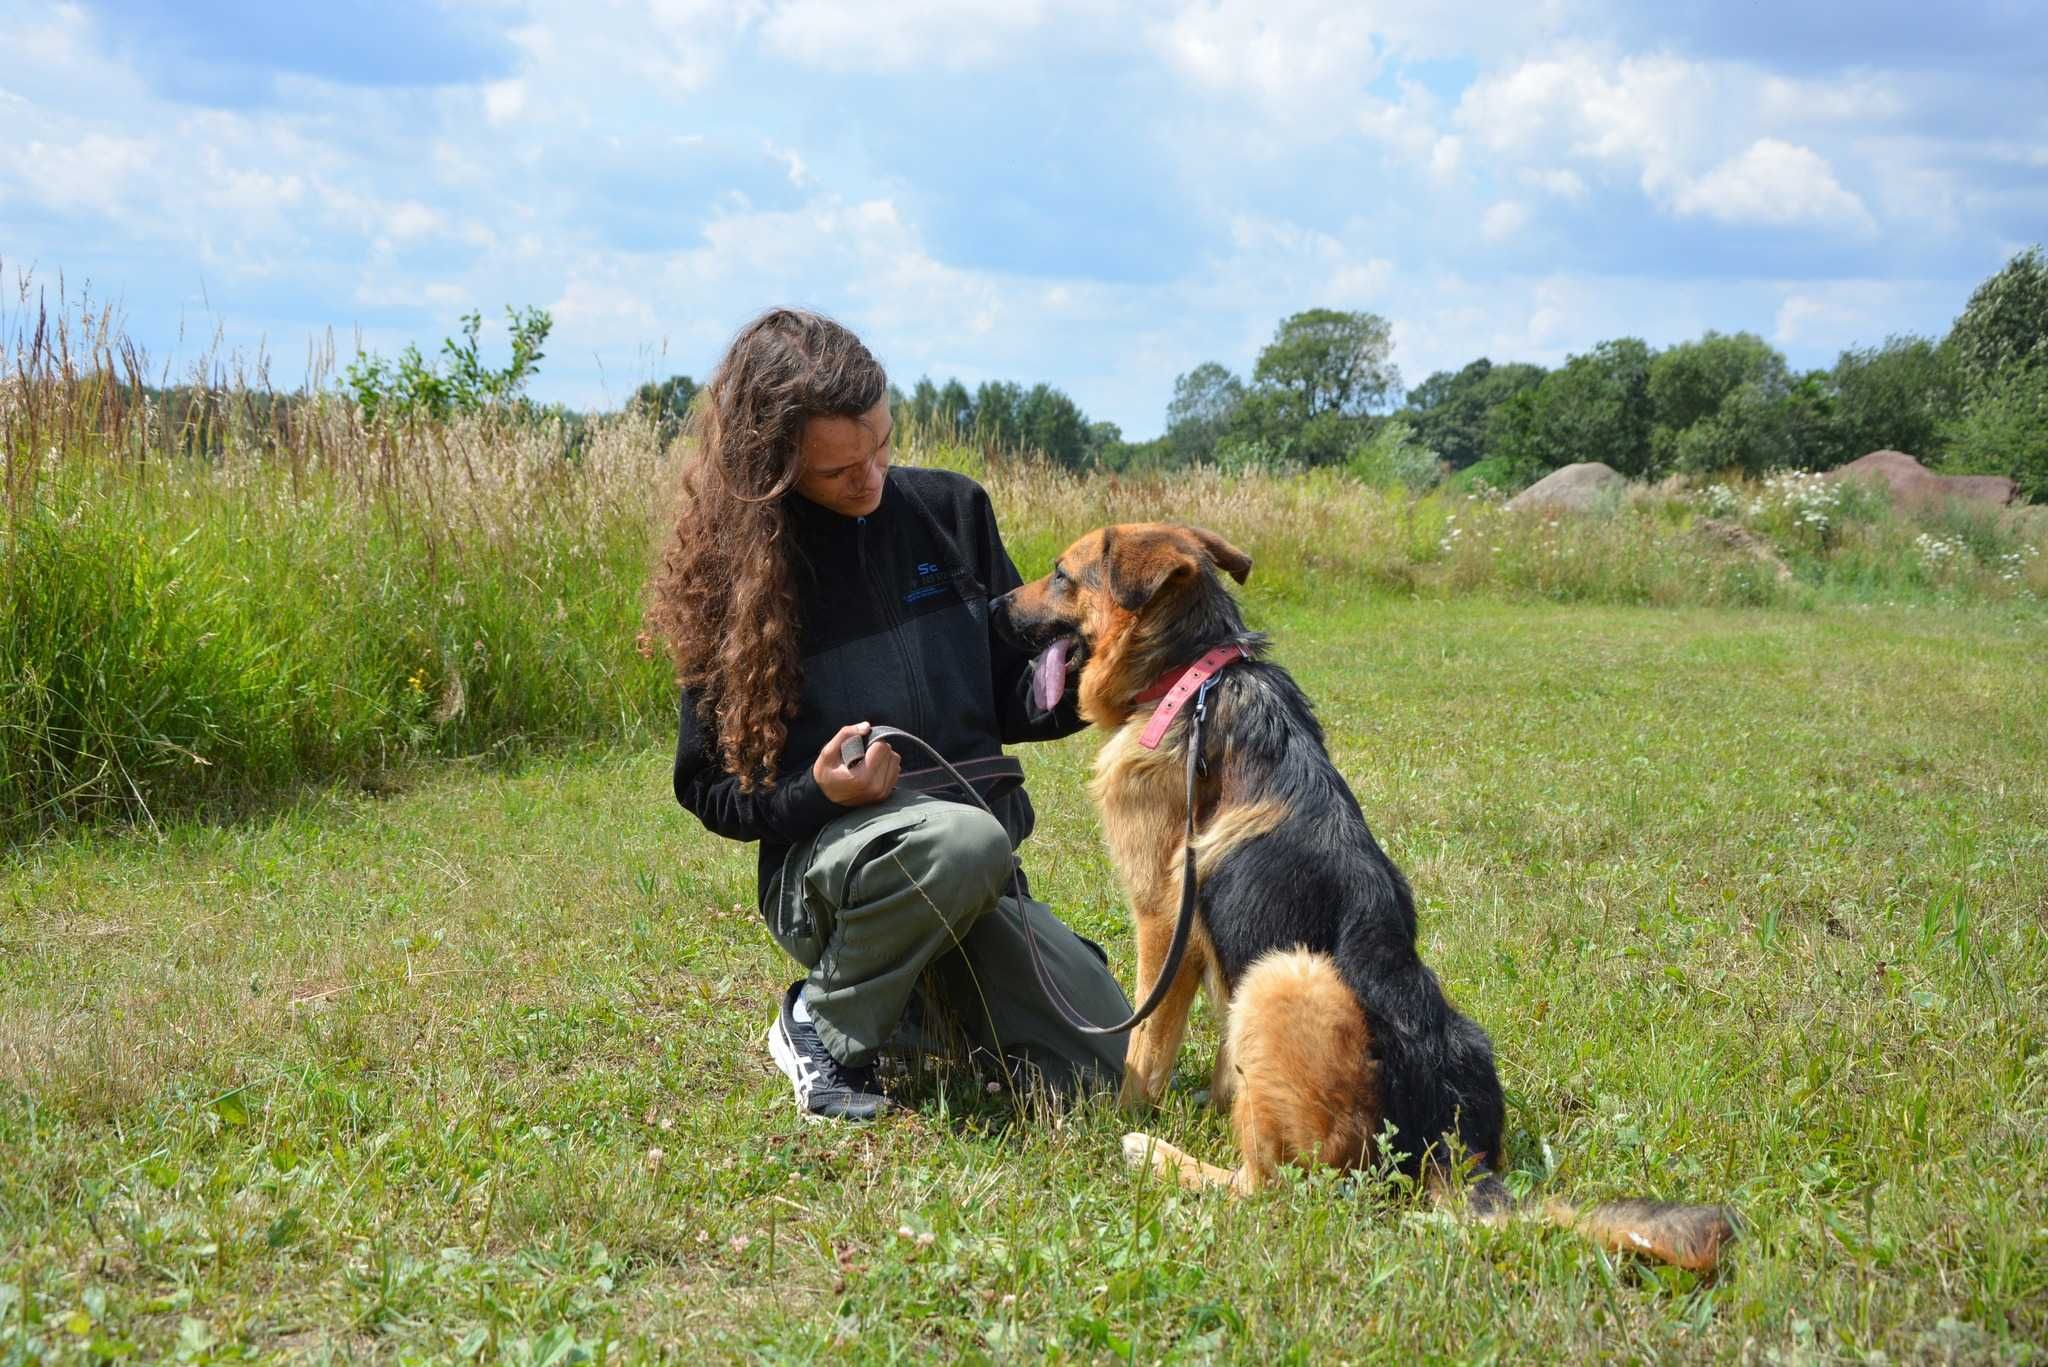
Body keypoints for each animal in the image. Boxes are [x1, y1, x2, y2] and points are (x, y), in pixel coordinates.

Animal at [991, 520, 1728, 1270]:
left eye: (1060, 574)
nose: (993, 604)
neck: (1194, 675)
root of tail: (1450, 1149)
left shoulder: (1162, 923)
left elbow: (1144, 1053)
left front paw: (1125, 1115)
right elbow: (1226, 1064)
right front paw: (1221, 1099)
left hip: (1284, 976)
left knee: (1268, 1187)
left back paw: (1155, 1153)